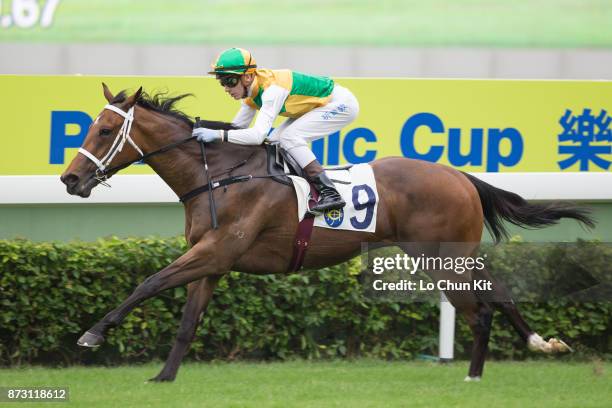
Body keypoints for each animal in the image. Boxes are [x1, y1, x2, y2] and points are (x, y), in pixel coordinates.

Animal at [61, 85, 592, 382]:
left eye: (105, 130)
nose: (69, 179)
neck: (219, 174)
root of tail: (458, 175)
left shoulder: (216, 251)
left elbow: (148, 282)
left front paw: (91, 334)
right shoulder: (212, 260)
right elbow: (187, 322)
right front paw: (164, 377)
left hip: (442, 256)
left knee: (479, 309)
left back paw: (478, 375)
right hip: (450, 254)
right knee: (496, 292)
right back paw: (535, 347)